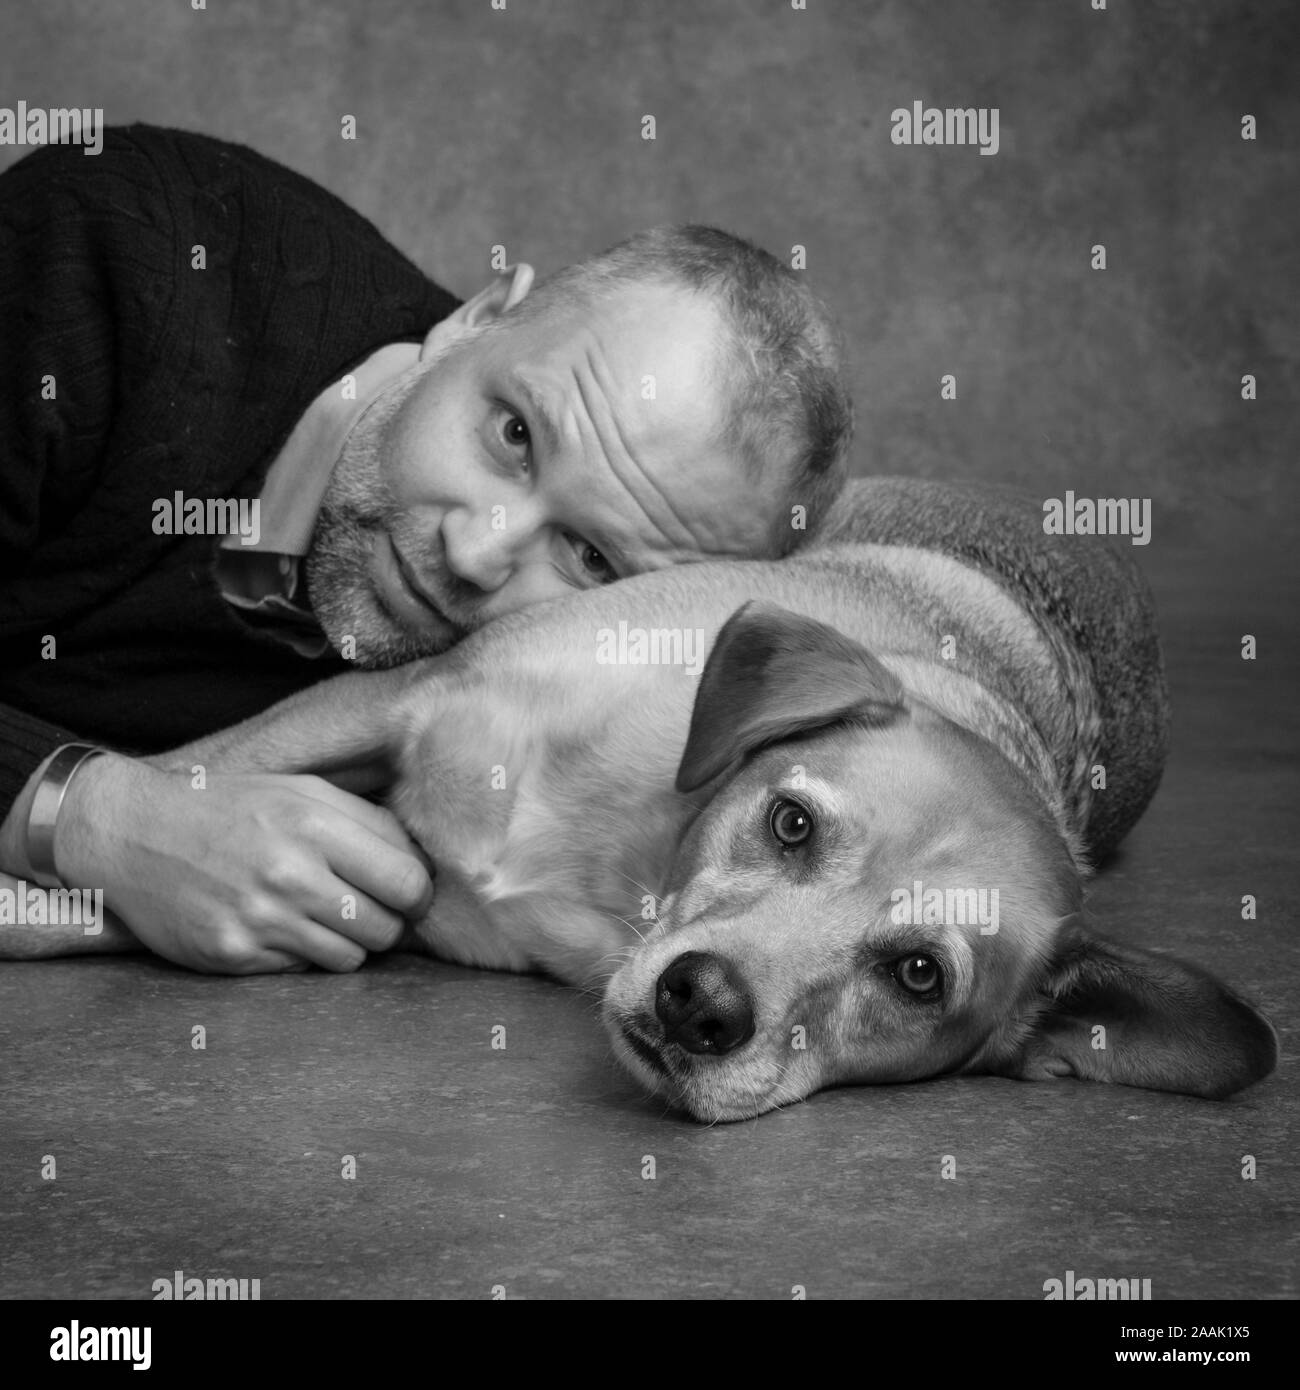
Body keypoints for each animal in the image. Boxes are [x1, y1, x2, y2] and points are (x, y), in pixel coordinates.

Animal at [7, 478, 1273, 1117]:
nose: (702, 1003)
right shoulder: (391, 700)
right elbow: (184, 785)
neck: (634, 864)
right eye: (791, 821)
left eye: (919, 974)